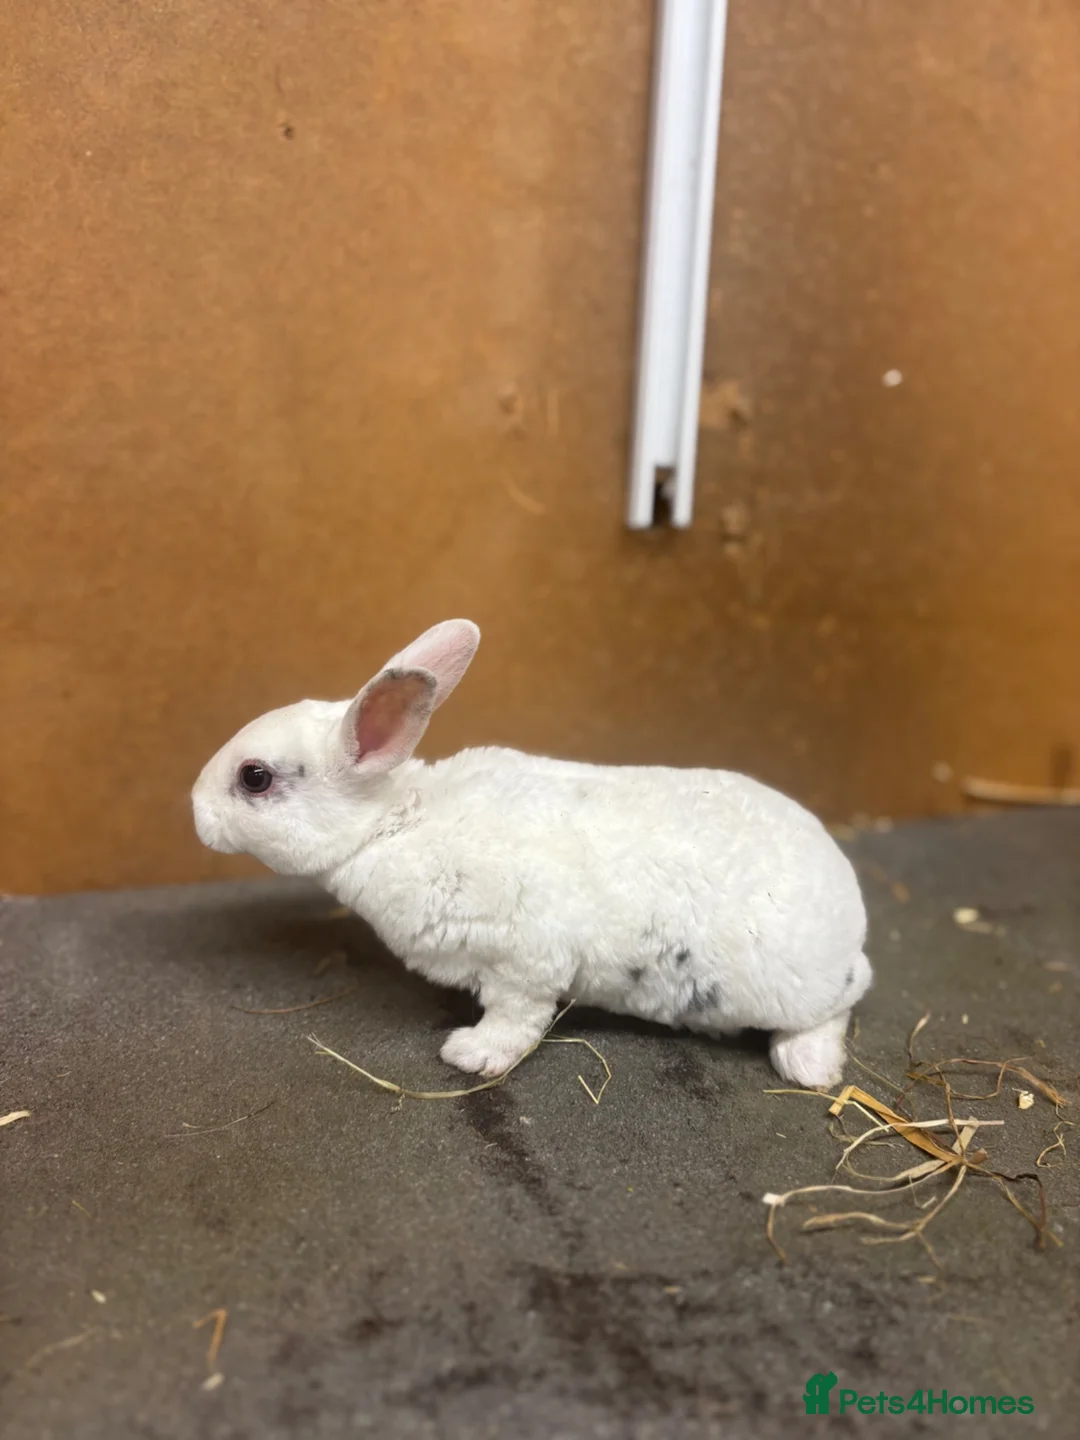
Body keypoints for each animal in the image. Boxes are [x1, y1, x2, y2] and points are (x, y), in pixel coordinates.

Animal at [192, 619, 871, 1088]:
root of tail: (853, 913)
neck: (394, 823)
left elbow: (516, 1019)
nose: (195, 811)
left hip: (800, 986)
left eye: (254, 778)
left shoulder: (524, 962)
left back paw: (807, 1066)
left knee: (842, 1003)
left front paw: (469, 1054)